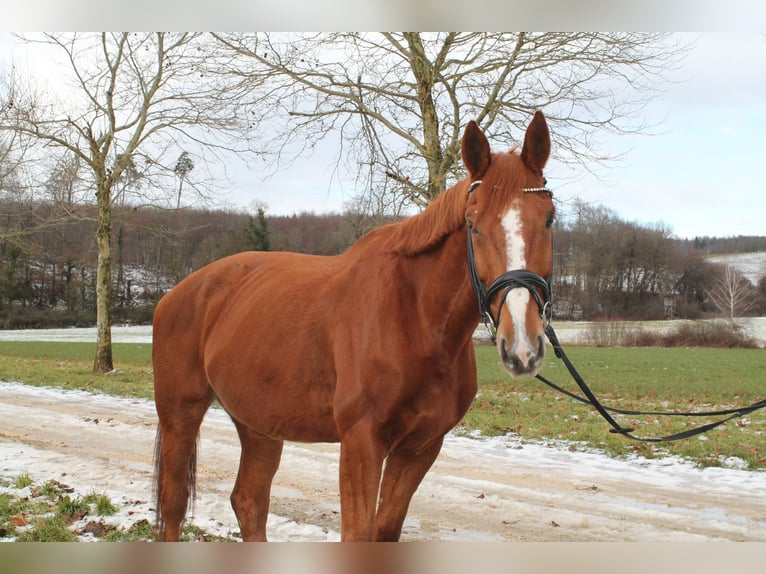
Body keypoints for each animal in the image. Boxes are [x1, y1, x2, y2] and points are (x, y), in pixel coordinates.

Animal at [153, 110, 556, 544]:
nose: (522, 347)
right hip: (181, 413)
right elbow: (358, 534)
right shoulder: (362, 443)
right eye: (473, 225)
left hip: (259, 424)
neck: (414, 320)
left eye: (549, 219)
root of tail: (178, 293)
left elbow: (384, 531)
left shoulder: (419, 448)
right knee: (174, 504)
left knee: (249, 502)